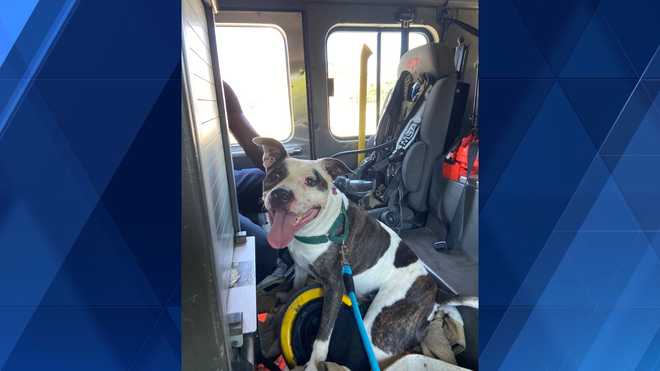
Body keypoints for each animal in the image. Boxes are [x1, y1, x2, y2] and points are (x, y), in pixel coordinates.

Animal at [253, 137, 474, 371]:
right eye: (276, 176)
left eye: (311, 181)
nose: (281, 194)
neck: (318, 228)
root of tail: (435, 293)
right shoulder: (301, 267)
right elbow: (296, 287)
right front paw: (285, 299)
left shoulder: (334, 287)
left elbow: (323, 333)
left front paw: (314, 363)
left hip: (379, 328)